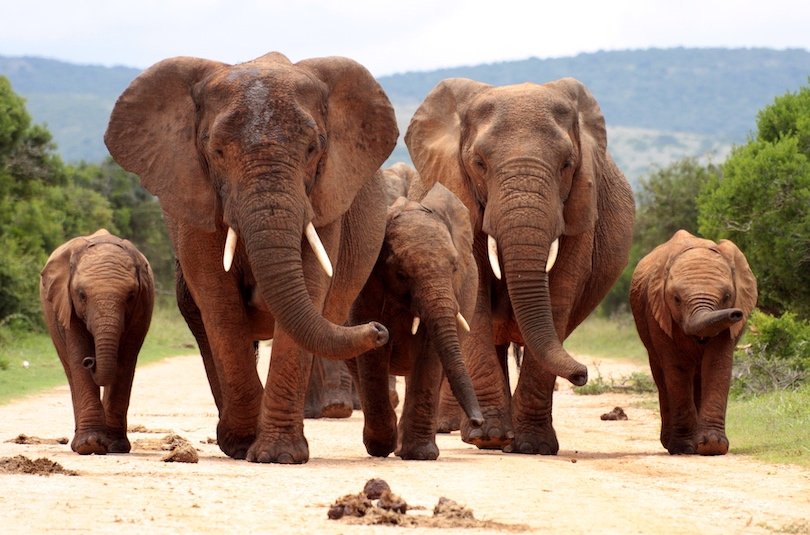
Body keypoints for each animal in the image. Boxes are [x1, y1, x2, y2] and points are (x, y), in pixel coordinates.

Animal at [39, 228, 155, 454]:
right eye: (82, 295)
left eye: (131, 296)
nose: (90, 361)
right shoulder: (67, 303)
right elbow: (77, 353)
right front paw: (89, 445)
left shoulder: (142, 306)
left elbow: (126, 360)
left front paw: (115, 446)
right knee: (70, 369)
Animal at [404, 77, 632, 454]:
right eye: (478, 163)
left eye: (567, 164)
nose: (582, 374)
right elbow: (477, 294)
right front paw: (491, 438)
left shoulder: (581, 206)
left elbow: (560, 293)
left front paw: (534, 447)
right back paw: (484, 435)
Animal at [628, 230, 756, 456]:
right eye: (676, 299)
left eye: (727, 296)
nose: (736, 314)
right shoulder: (658, 313)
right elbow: (676, 369)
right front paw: (684, 448)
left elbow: (717, 364)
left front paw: (712, 446)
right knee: (662, 377)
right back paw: (671, 443)